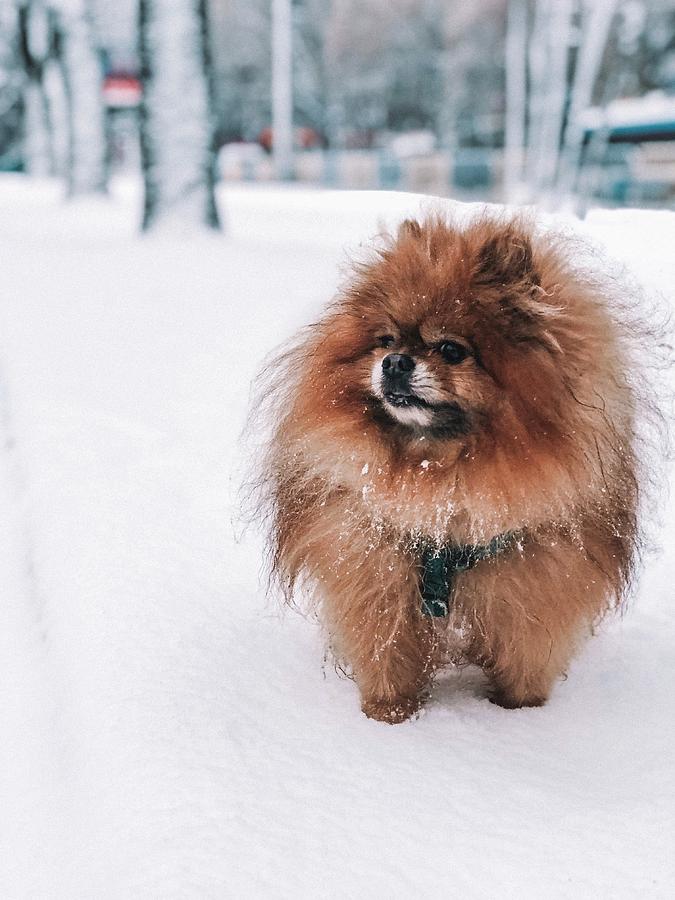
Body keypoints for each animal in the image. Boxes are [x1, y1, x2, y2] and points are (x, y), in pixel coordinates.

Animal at [255, 216, 656, 724]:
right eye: (385, 340)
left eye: (450, 349)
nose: (395, 362)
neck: (444, 481)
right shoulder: (377, 578)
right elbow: (387, 655)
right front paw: (387, 718)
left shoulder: (530, 589)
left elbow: (523, 659)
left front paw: (519, 715)